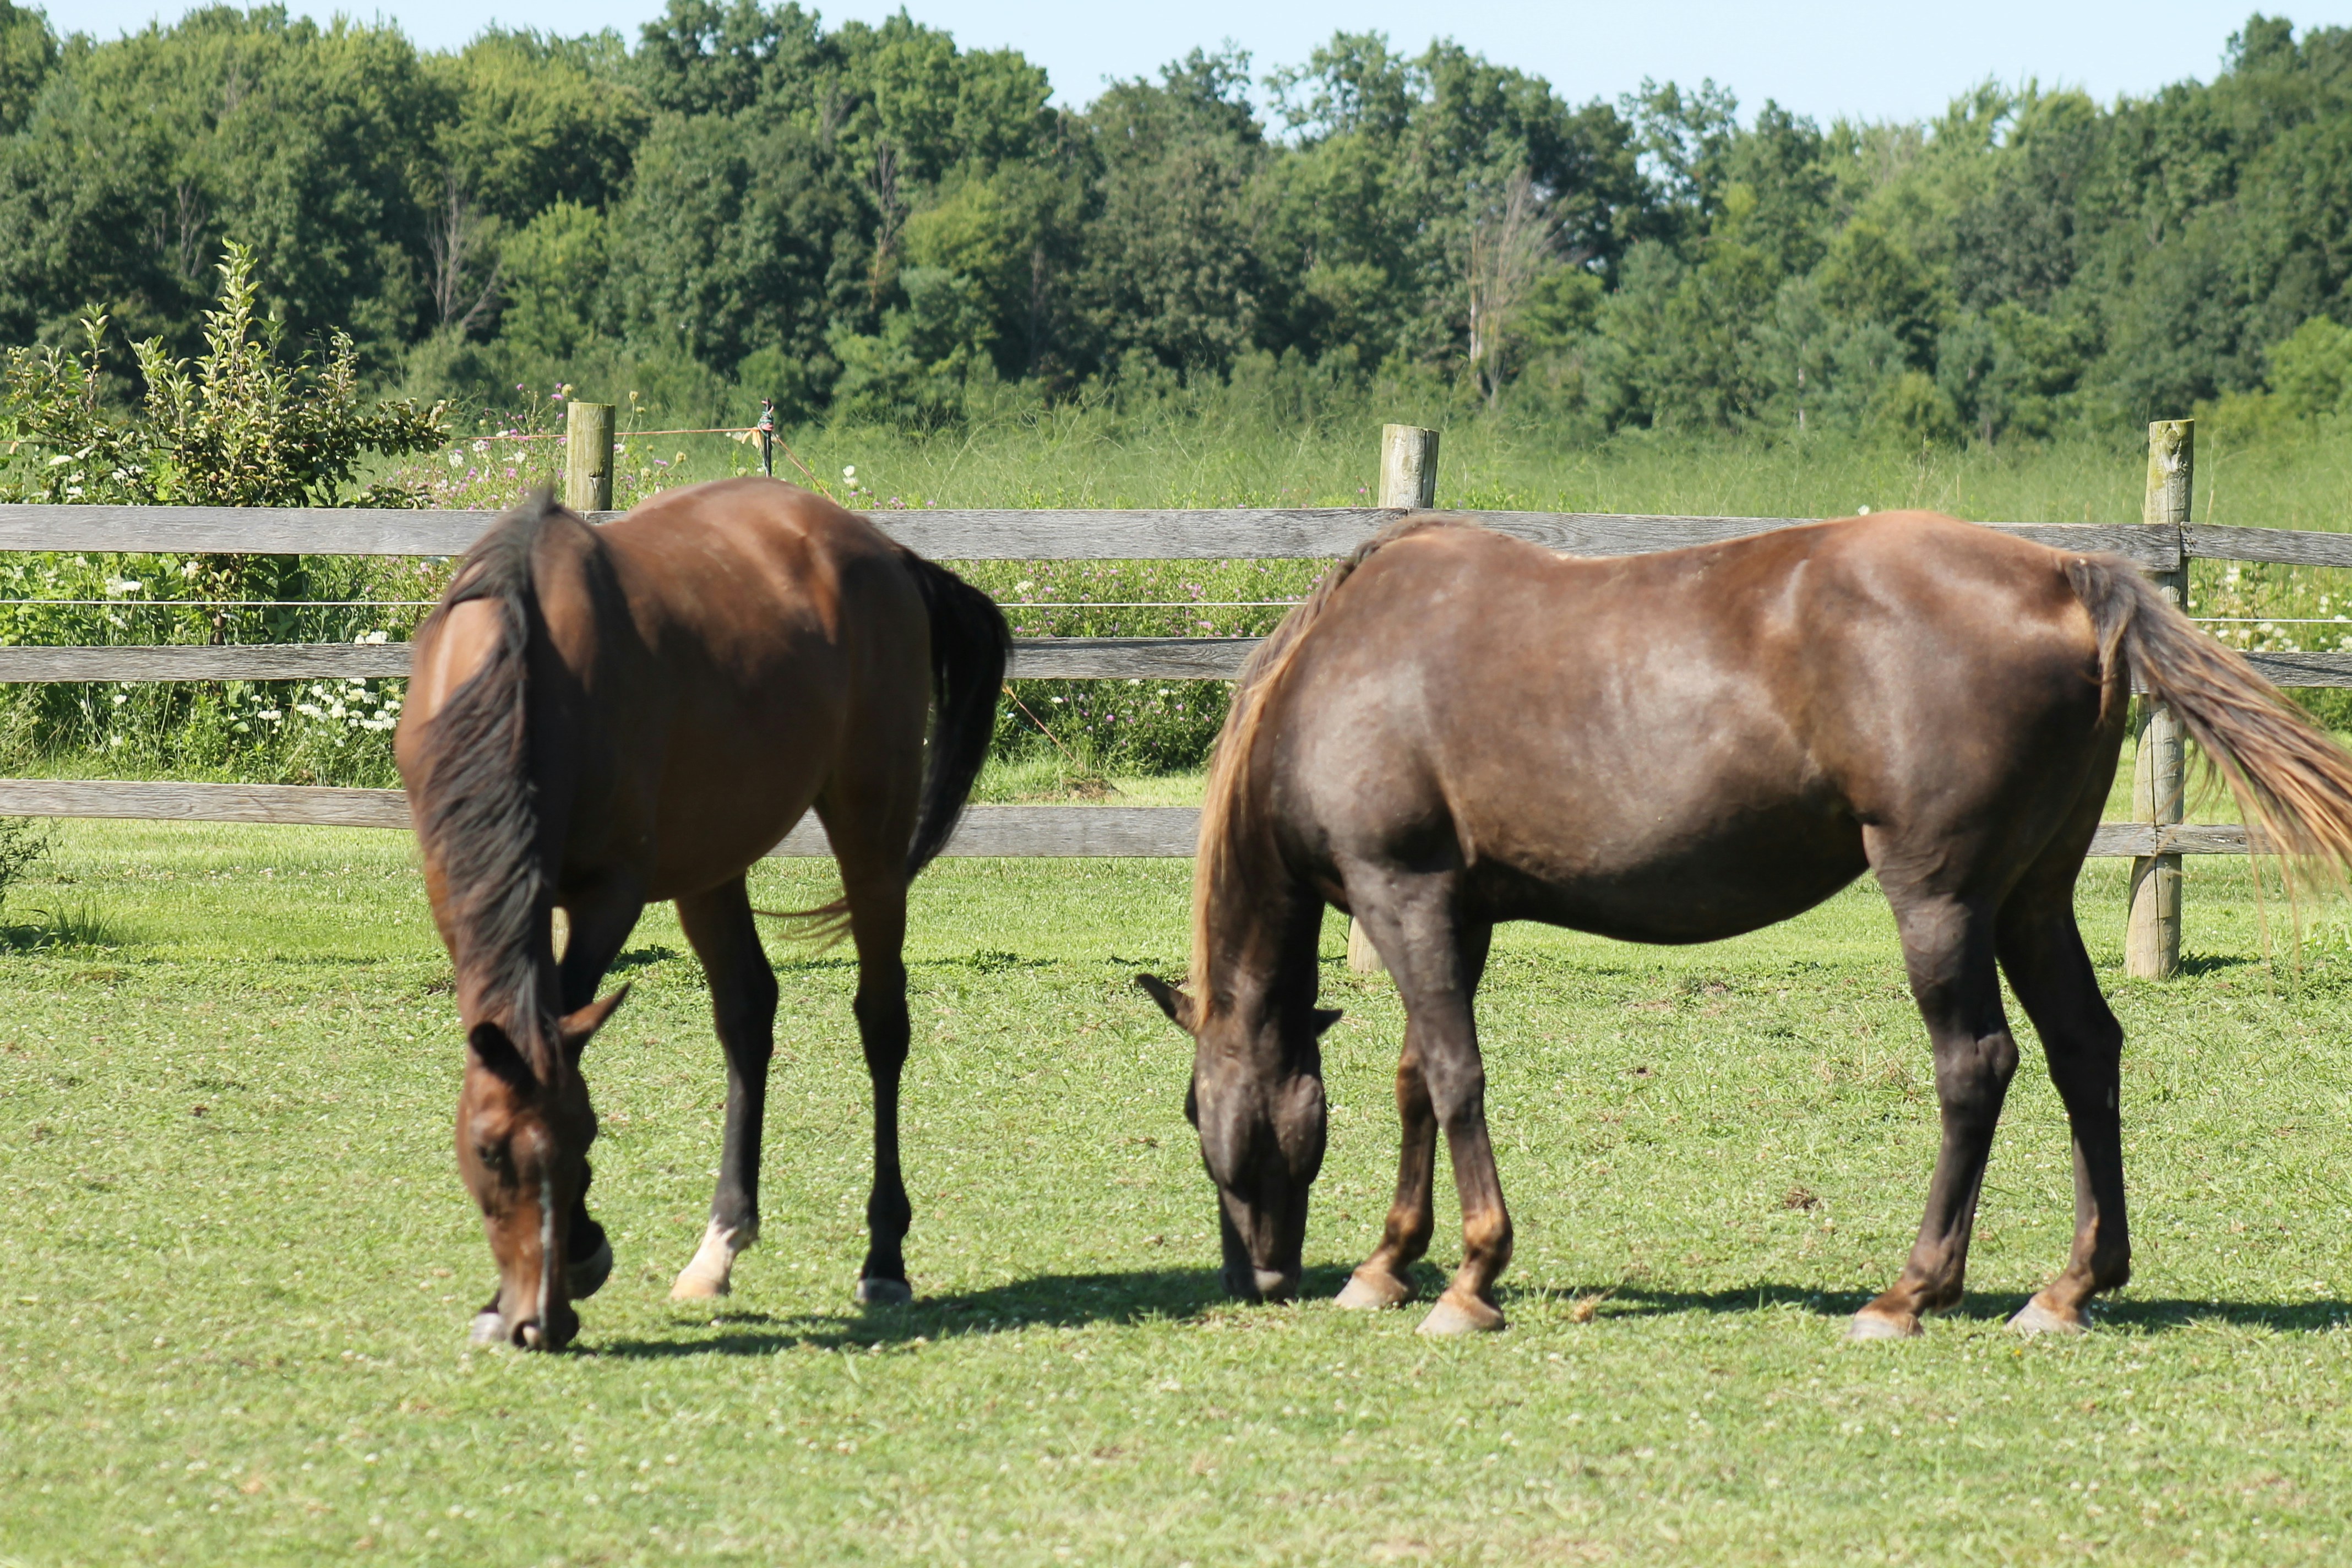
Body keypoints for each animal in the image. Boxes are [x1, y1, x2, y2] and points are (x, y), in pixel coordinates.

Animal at [395, 479, 1008, 1350]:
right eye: (488, 1153)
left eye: (586, 1140)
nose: (540, 1322)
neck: (522, 660)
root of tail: (887, 553)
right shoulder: (456, 887)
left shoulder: (608, 894)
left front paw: (582, 1251)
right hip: (713, 864)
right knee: (749, 1012)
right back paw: (719, 1246)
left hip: (872, 834)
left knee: (882, 1022)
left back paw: (883, 1257)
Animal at [1139, 510, 2352, 1339]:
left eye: (1196, 1108)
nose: (1255, 1278)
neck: (1343, 667)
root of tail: (2066, 576)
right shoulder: (1456, 911)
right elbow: (1412, 1082)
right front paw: (1389, 1264)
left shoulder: (1408, 896)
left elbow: (1453, 1074)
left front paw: (1471, 1277)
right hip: (2033, 896)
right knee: (2083, 1051)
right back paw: (2068, 1287)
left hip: (1943, 898)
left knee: (1977, 1063)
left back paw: (1908, 1291)